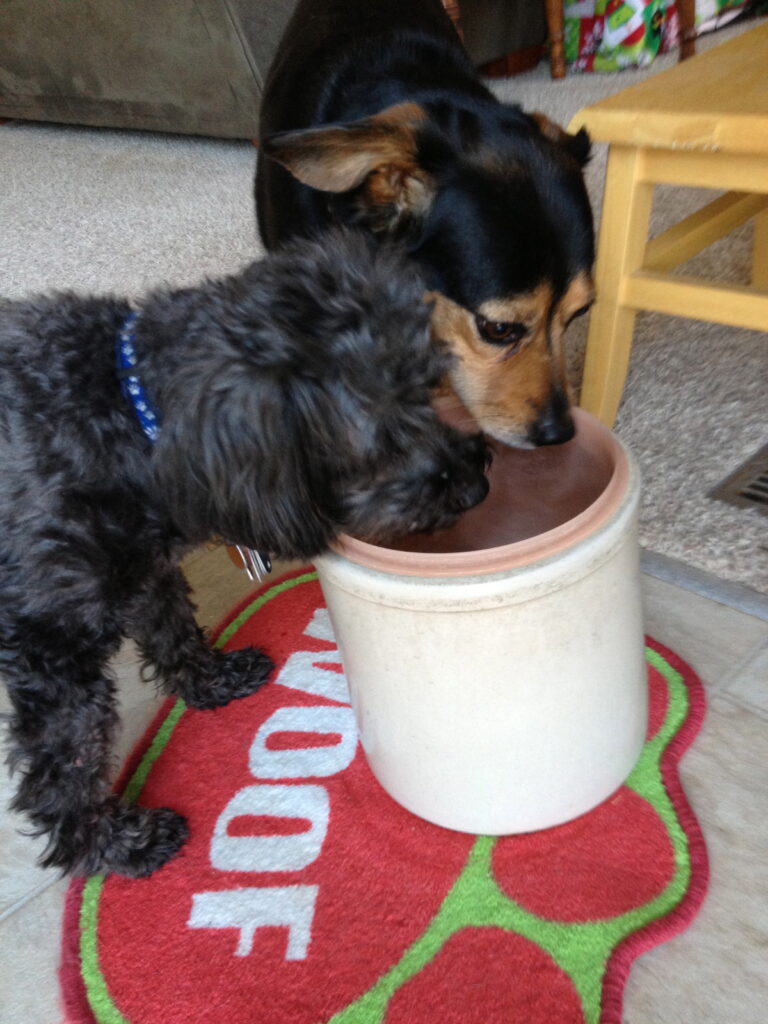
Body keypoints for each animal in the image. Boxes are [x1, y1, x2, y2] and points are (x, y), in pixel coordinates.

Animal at [0, 232, 489, 880]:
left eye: (429, 388)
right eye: (382, 438)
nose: (479, 481)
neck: (126, 412)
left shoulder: (147, 570)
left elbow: (173, 628)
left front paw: (212, 680)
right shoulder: (51, 651)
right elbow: (69, 764)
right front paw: (111, 845)